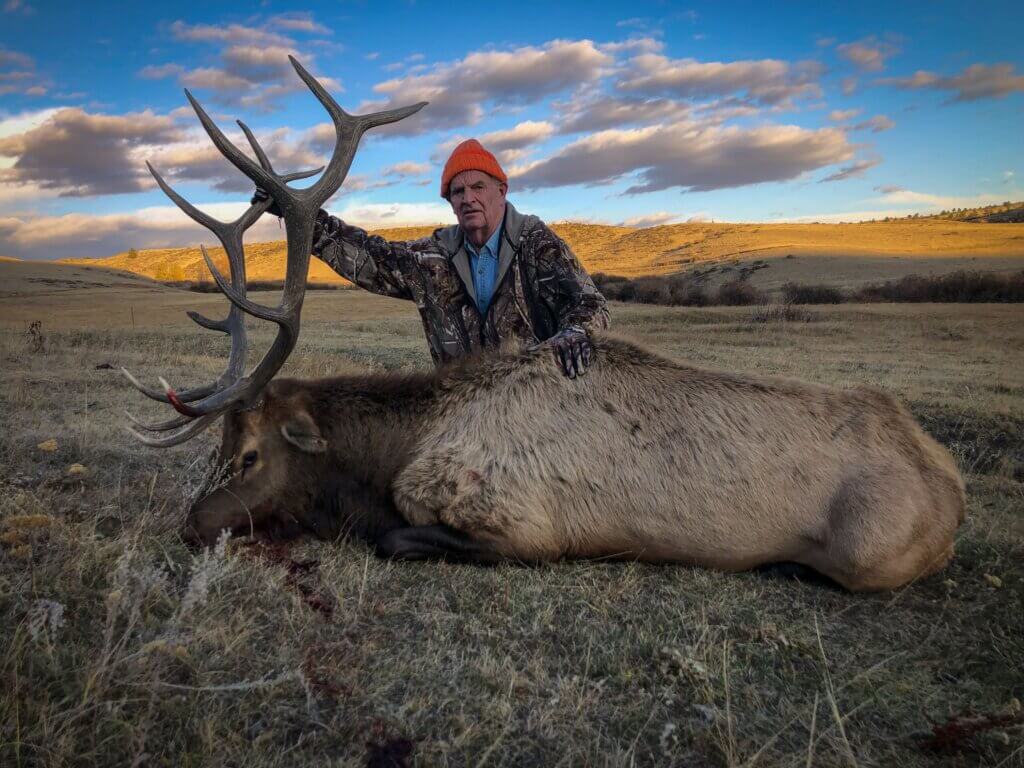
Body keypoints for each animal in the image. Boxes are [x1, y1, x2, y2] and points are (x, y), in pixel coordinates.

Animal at [123, 57, 966, 592]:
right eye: (218, 449)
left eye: (249, 456)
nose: (191, 525)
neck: (397, 452)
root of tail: (951, 481)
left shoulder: (520, 525)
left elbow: (396, 537)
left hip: (873, 551)